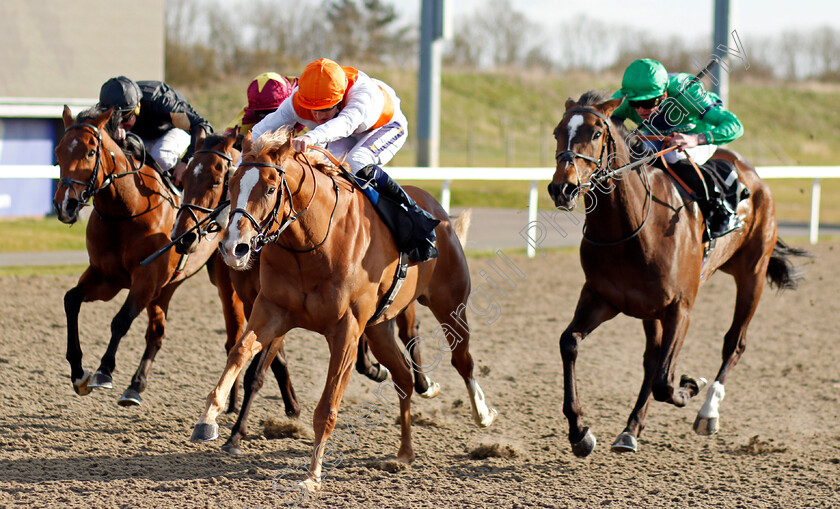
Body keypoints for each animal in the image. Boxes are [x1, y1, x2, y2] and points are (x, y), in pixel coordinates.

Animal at [50, 105, 218, 406]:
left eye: (90, 152)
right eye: (58, 152)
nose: (64, 205)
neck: (126, 210)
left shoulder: (145, 279)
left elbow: (121, 320)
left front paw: (103, 371)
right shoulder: (106, 277)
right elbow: (71, 300)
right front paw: (79, 373)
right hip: (167, 287)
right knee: (157, 333)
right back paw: (135, 385)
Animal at [187, 127, 496, 492]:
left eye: (271, 188)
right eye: (232, 184)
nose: (233, 247)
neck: (313, 243)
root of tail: (440, 212)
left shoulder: (346, 332)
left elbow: (327, 406)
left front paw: (312, 476)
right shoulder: (271, 311)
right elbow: (239, 353)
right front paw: (208, 419)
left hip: (450, 304)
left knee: (462, 360)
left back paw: (482, 414)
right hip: (378, 328)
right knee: (403, 377)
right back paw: (404, 452)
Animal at [544, 91, 808, 456]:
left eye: (596, 134)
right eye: (557, 132)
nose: (563, 188)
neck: (631, 230)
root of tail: (751, 174)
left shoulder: (680, 309)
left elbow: (665, 381)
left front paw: (691, 385)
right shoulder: (602, 298)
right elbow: (569, 342)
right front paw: (579, 431)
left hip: (752, 273)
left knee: (733, 344)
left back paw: (708, 411)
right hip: (649, 308)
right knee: (652, 358)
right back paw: (630, 430)